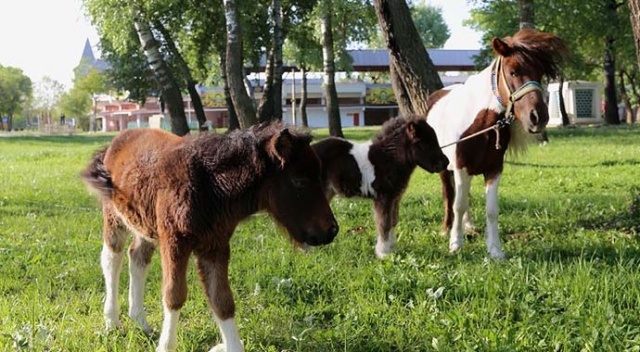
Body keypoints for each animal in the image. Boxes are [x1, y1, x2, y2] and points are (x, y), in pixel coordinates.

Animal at [82, 121, 338, 352]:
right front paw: (166, 346)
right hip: (115, 217)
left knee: (137, 258)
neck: (209, 187)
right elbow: (174, 295)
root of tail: (114, 143)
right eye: (299, 181)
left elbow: (222, 301)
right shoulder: (175, 241)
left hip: (144, 224)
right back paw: (112, 322)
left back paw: (140, 322)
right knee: (111, 259)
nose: (331, 230)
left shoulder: (216, 246)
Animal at [312, 117, 448, 258]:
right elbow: (384, 224)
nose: (446, 163)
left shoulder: (395, 198)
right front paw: (383, 253)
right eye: (425, 143)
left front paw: (392, 248)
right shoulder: (383, 198)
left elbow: (393, 221)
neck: (388, 158)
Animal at [428, 28, 568, 258]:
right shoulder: (460, 166)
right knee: (450, 195)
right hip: (444, 167)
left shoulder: (493, 169)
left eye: (540, 73)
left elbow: (491, 209)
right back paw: (447, 228)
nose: (538, 117)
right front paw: (455, 244)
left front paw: (495, 250)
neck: (481, 126)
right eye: (513, 72)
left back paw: (468, 226)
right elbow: (458, 204)